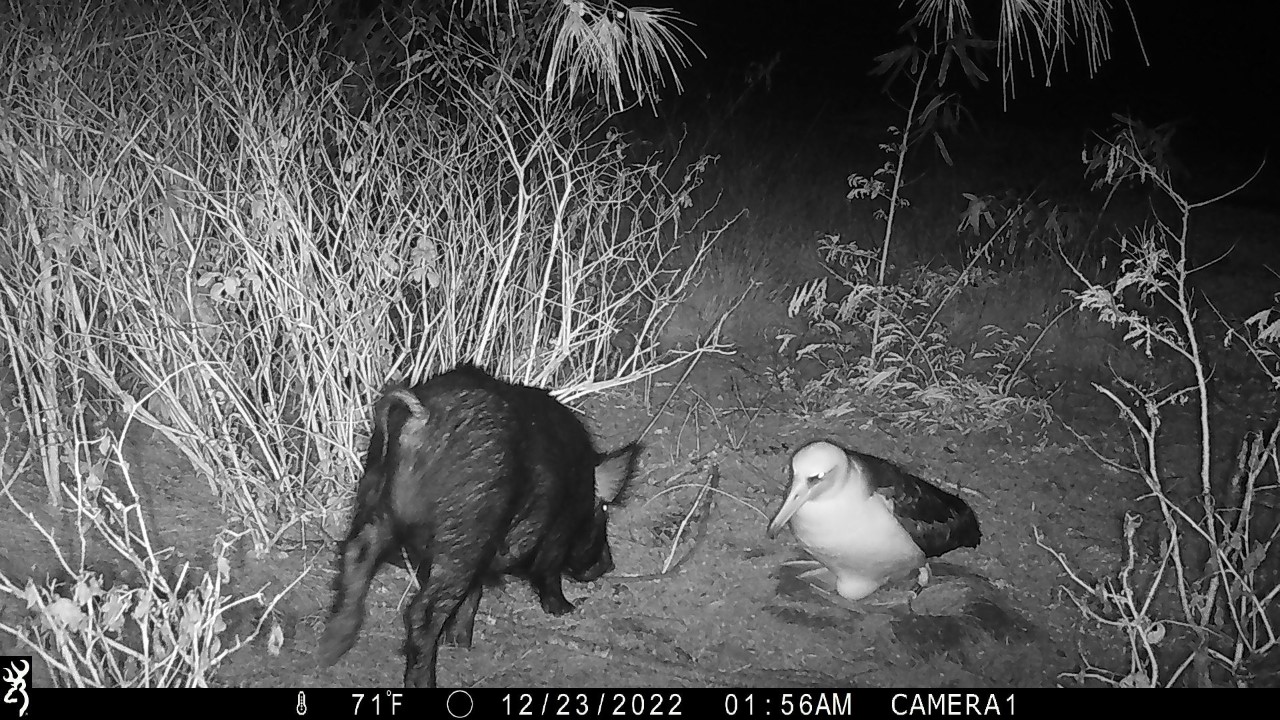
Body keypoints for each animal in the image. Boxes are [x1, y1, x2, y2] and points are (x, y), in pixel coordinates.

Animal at [320, 361, 640, 686]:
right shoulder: (557, 531)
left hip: (376, 498)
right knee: (422, 611)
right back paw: (424, 679)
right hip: (465, 532)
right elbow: (547, 574)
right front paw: (565, 609)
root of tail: (421, 416)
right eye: (603, 513)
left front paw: (460, 643)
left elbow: (473, 596)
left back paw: (331, 648)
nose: (608, 565)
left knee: (356, 555)